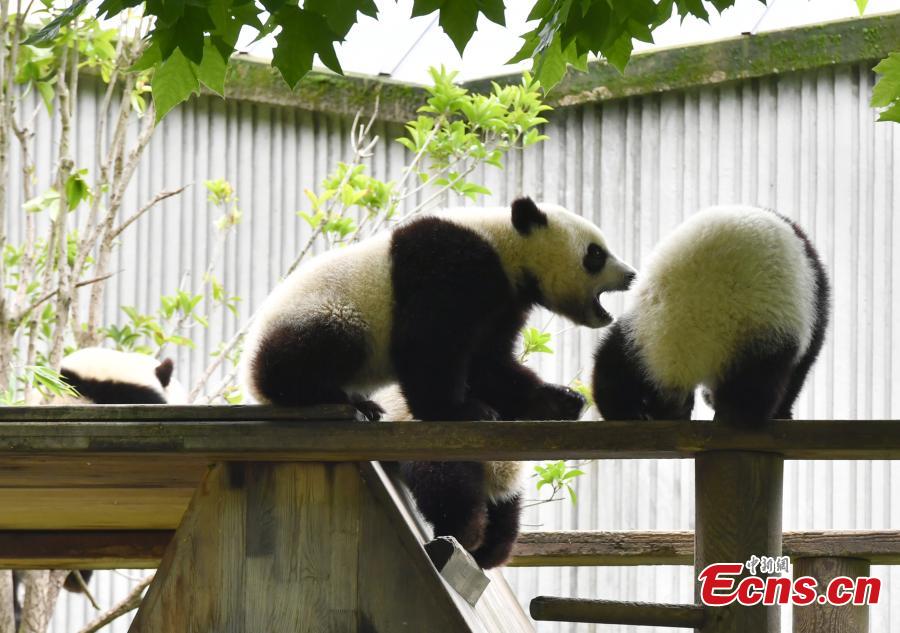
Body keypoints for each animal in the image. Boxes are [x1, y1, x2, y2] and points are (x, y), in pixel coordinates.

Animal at [239, 198, 632, 422]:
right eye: (596, 254)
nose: (630, 274)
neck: (505, 247)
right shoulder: (447, 266)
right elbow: (429, 343)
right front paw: (461, 410)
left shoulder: (503, 303)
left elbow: (488, 361)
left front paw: (558, 401)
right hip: (327, 311)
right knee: (317, 347)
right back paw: (341, 398)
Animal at [592, 206, 828, 424]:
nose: (663, 411)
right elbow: (801, 366)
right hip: (763, 326)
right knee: (755, 388)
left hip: (643, 325)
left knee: (612, 363)